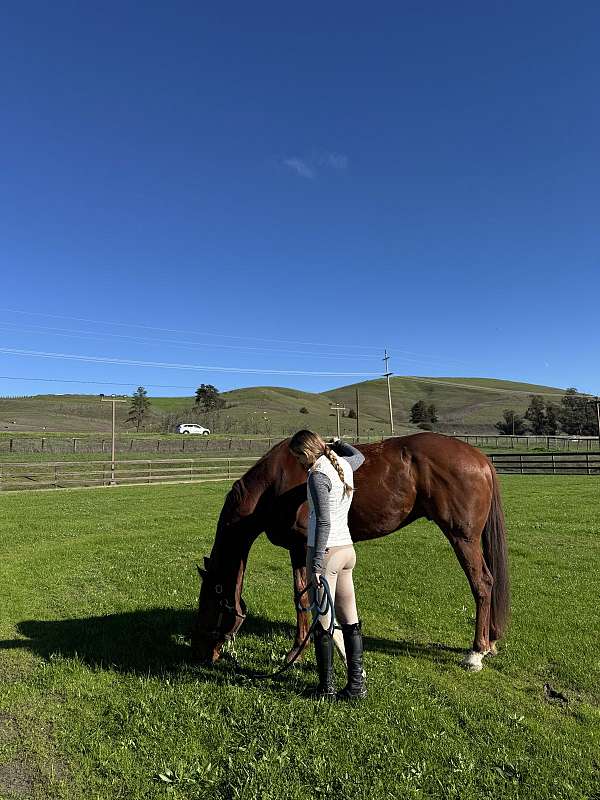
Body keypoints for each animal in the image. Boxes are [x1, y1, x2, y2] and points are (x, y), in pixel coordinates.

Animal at [191, 432, 509, 672]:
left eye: (208, 605)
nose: (199, 654)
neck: (275, 483)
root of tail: (480, 458)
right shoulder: (300, 549)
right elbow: (303, 597)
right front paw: (302, 648)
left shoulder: (303, 546)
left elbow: (305, 598)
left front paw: (297, 653)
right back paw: (490, 643)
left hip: (463, 538)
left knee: (483, 584)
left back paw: (476, 653)